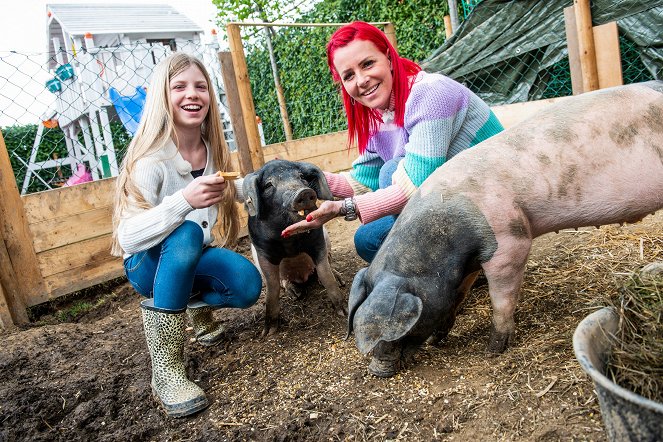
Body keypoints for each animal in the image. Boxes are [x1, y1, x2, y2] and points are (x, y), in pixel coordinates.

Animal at [348, 82, 663, 376]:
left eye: (398, 330)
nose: (376, 370)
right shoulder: (469, 263)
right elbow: (456, 296)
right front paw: (437, 340)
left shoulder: (509, 240)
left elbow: (501, 297)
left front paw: (492, 350)